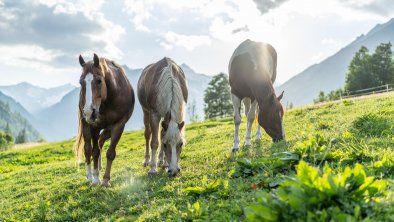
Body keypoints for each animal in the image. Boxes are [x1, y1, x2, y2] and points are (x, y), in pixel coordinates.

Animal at [74, 53, 135, 187]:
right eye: (81, 82)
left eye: (99, 81)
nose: (88, 112)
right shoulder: (94, 126)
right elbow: (94, 151)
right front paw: (96, 179)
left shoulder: (119, 125)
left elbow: (110, 153)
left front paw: (106, 180)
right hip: (87, 125)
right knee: (88, 149)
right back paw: (90, 176)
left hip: (107, 129)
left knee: (101, 141)